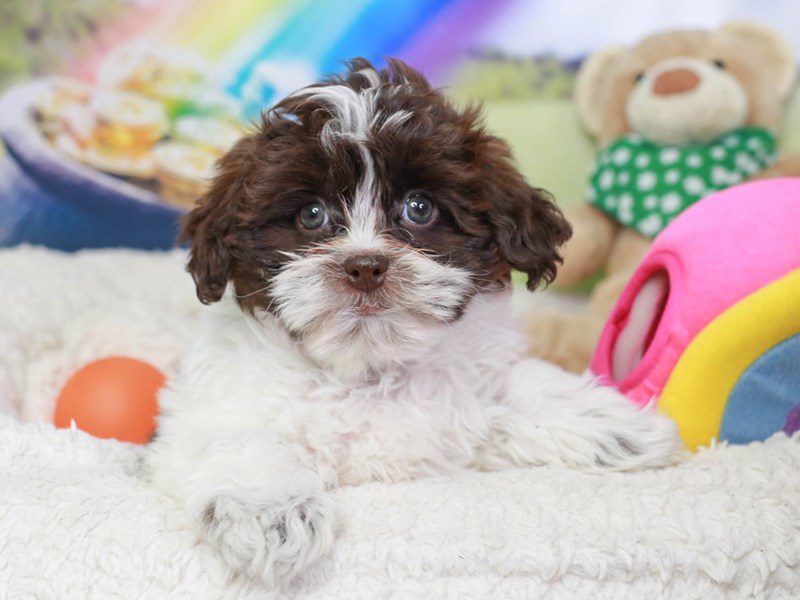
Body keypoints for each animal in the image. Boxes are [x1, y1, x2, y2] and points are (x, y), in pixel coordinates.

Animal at [147, 58, 680, 588]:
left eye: (419, 208)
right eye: (312, 214)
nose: (365, 266)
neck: (369, 367)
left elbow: (523, 388)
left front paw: (619, 425)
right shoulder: (217, 408)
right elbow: (241, 441)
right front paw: (272, 513)